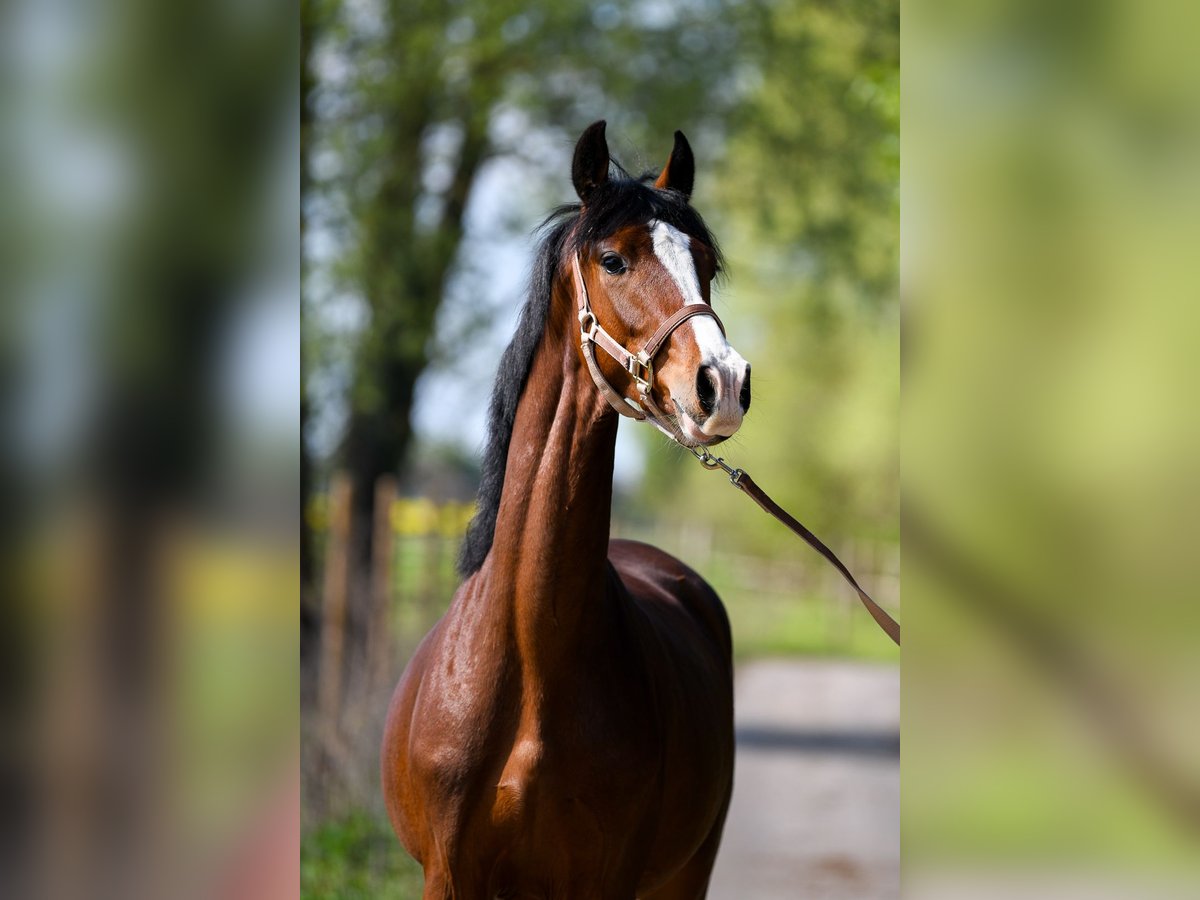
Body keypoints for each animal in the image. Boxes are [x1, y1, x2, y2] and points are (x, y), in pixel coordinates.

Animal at [379, 121, 748, 900]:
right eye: (613, 259)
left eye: (705, 263)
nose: (724, 384)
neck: (532, 660)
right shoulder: (448, 876)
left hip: (686, 872)